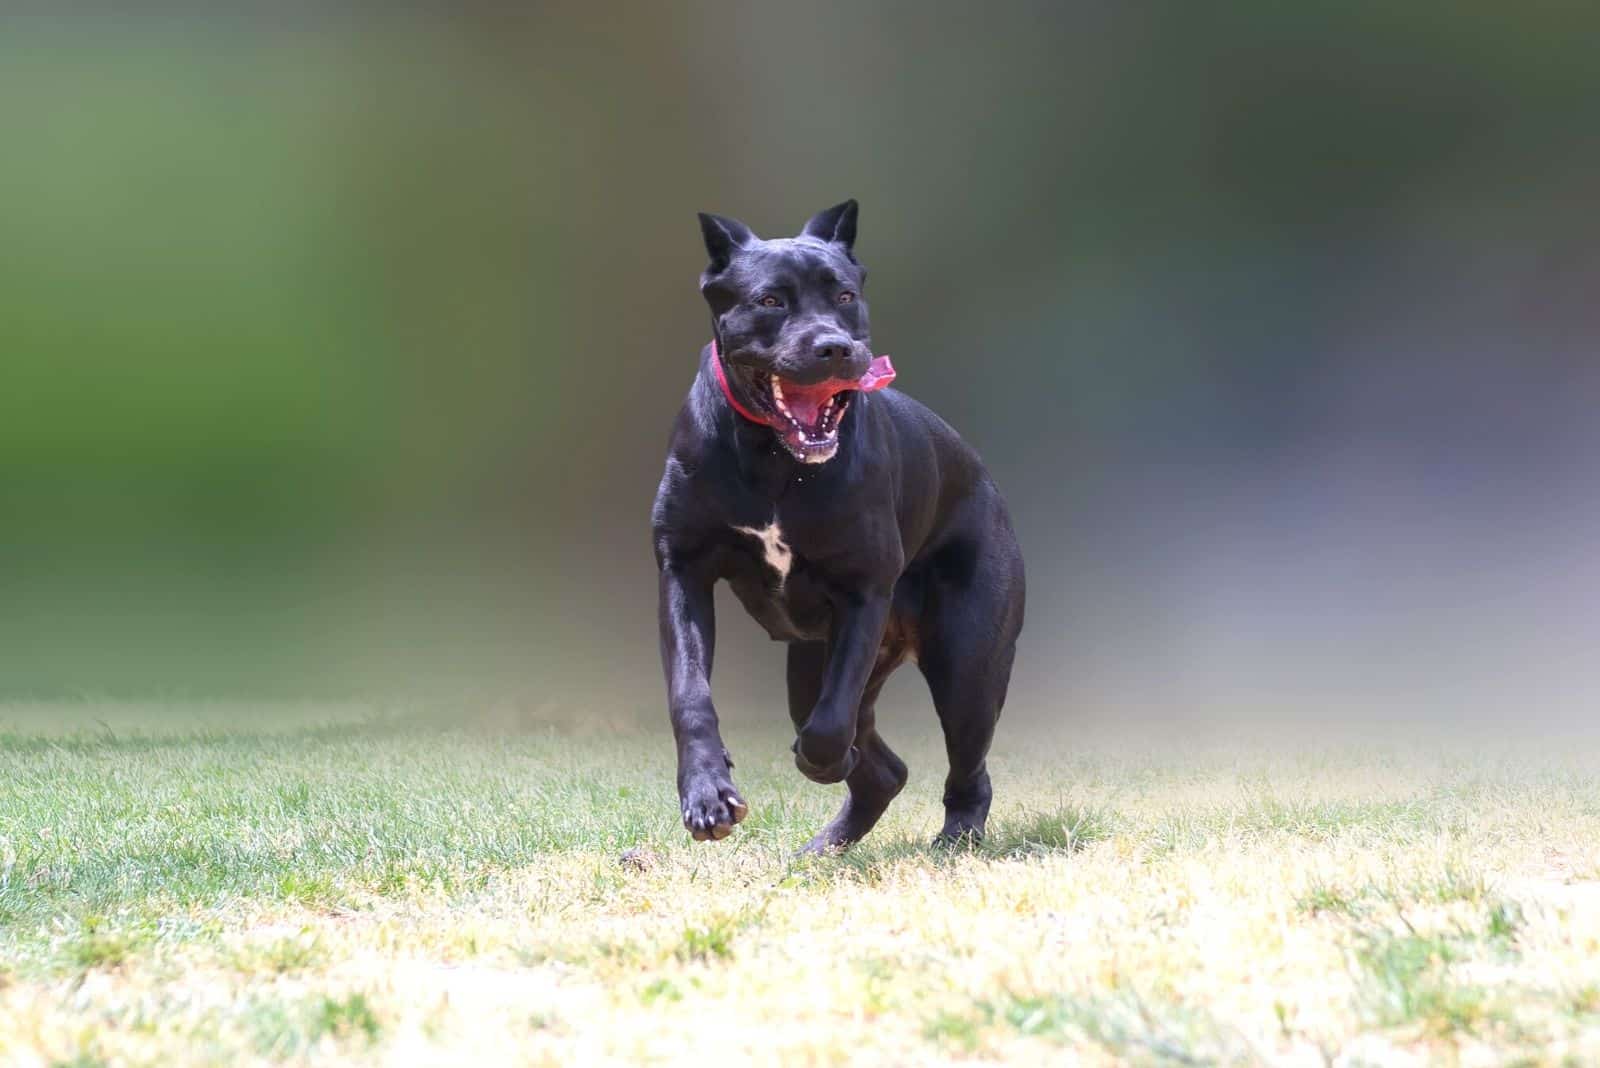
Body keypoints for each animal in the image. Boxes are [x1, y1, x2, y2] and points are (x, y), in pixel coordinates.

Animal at [649, 199, 1024, 850]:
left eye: (845, 295)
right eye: (771, 300)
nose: (833, 347)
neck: (774, 460)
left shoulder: (863, 591)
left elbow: (829, 726)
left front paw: (822, 759)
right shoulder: (683, 569)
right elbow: (691, 694)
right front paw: (707, 796)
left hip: (968, 666)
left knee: (964, 768)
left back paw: (955, 837)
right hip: (814, 662)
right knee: (885, 766)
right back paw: (828, 844)